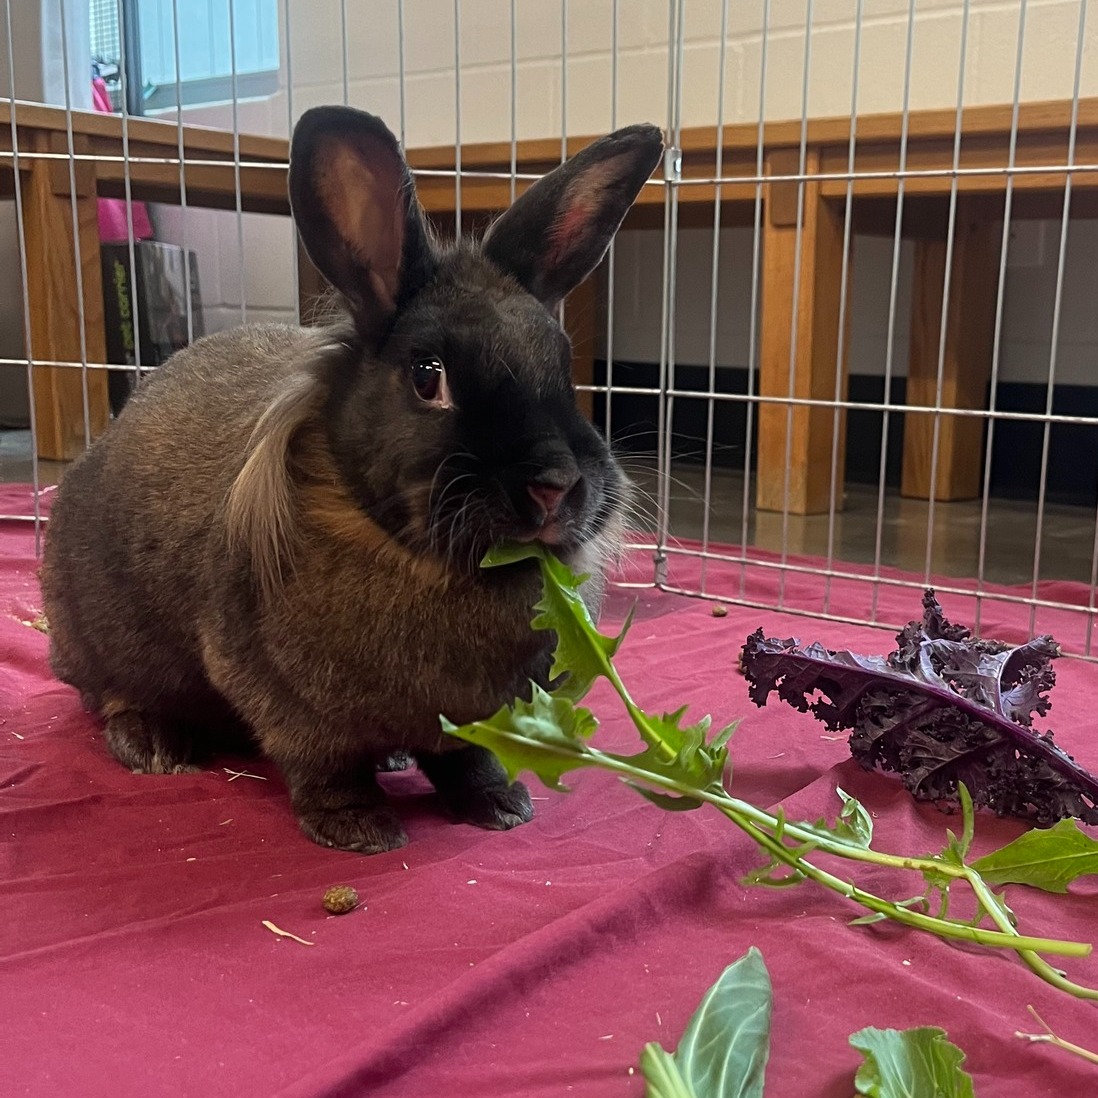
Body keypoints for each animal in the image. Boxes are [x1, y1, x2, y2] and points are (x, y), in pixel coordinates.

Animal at [39, 105, 664, 854]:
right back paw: (153, 744)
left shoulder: (476, 722)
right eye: (427, 376)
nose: (556, 485)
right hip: (95, 636)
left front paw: (501, 806)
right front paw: (359, 828)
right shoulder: (283, 699)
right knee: (106, 694)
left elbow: (468, 759)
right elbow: (323, 763)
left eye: (563, 364)